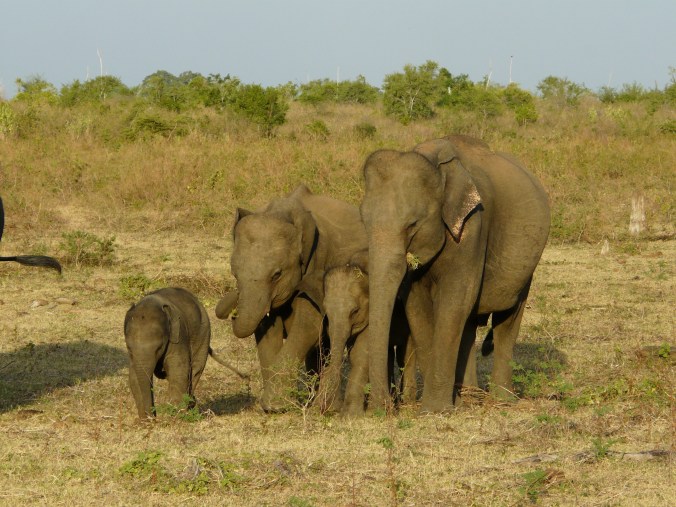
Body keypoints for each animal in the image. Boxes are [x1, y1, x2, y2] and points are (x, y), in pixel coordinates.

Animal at [124, 287, 247, 419]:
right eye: (129, 348)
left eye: (159, 347)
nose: (153, 417)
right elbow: (133, 376)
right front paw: (145, 420)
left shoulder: (179, 334)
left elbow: (178, 370)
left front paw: (175, 416)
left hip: (203, 332)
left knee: (195, 370)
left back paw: (190, 405)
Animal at [219, 184, 367, 412]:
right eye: (234, 273)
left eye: (276, 275)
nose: (233, 313)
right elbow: (266, 331)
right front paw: (272, 406)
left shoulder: (317, 261)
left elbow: (308, 326)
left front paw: (275, 405)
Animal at [317, 253, 417, 417]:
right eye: (326, 309)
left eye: (355, 311)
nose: (328, 408)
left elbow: (361, 353)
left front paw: (350, 415)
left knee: (406, 357)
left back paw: (406, 404)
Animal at [360, 134, 550, 413]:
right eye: (365, 221)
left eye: (412, 224)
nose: (382, 409)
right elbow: (417, 306)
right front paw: (444, 407)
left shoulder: (473, 225)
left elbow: (454, 300)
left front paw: (435, 410)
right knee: (469, 323)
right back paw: (468, 400)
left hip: (527, 264)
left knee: (507, 318)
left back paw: (501, 400)